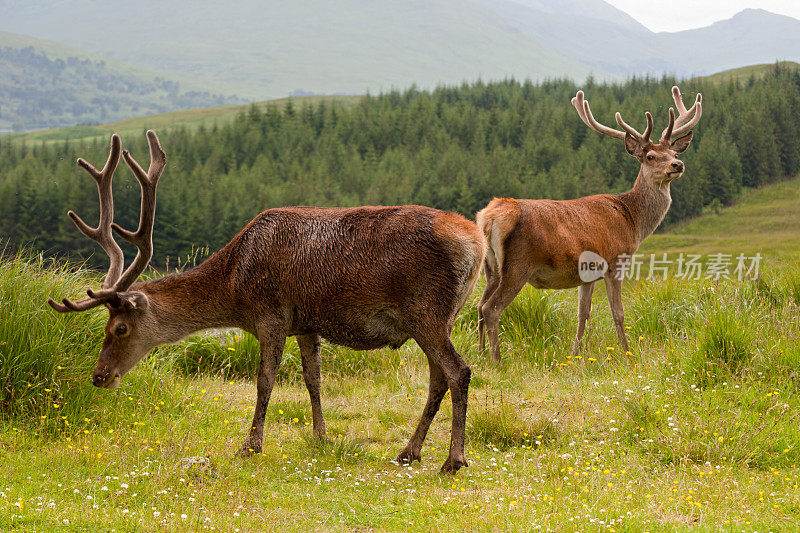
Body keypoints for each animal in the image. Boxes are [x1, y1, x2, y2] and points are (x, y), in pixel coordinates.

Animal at [50, 131, 482, 472]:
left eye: (119, 328)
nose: (99, 376)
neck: (234, 287)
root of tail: (476, 242)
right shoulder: (307, 322)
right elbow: (313, 379)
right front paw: (321, 438)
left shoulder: (271, 314)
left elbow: (265, 380)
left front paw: (250, 446)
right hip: (442, 315)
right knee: (438, 377)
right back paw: (410, 451)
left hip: (426, 310)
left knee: (459, 370)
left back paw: (453, 459)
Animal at [478, 86, 704, 362]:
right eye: (650, 156)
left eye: (674, 153)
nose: (678, 164)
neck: (633, 221)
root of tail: (490, 216)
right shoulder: (615, 261)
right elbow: (618, 313)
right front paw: (627, 353)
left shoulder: (586, 275)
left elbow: (582, 315)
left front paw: (575, 354)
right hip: (518, 265)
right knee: (491, 308)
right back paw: (497, 360)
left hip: (491, 267)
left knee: (479, 306)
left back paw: (480, 355)